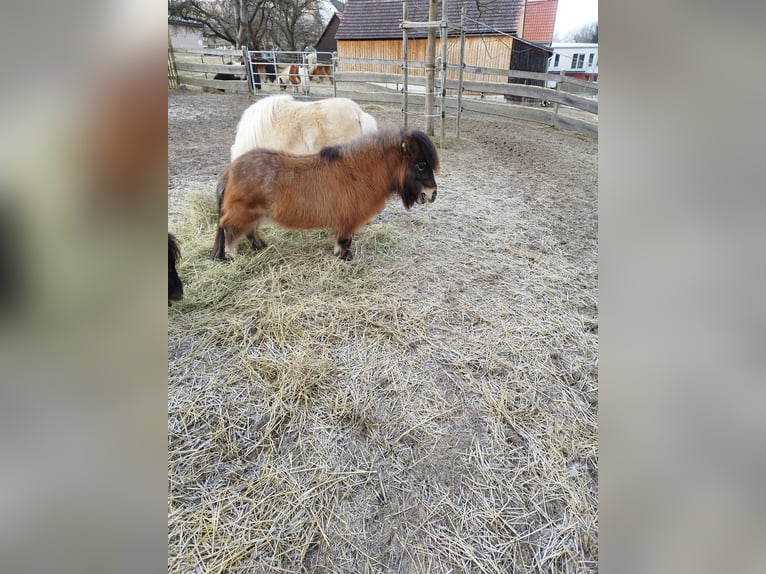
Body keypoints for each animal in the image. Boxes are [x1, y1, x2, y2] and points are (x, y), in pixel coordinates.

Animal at [213, 129, 440, 262]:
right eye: (421, 164)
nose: (432, 194)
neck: (359, 172)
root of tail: (230, 170)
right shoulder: (348, 220)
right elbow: (344, 239)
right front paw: (344, 256)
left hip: (253, 213)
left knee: (250, 231)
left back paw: (260, 246)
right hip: (242, 213)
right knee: (230, 230)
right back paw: (231, 256)